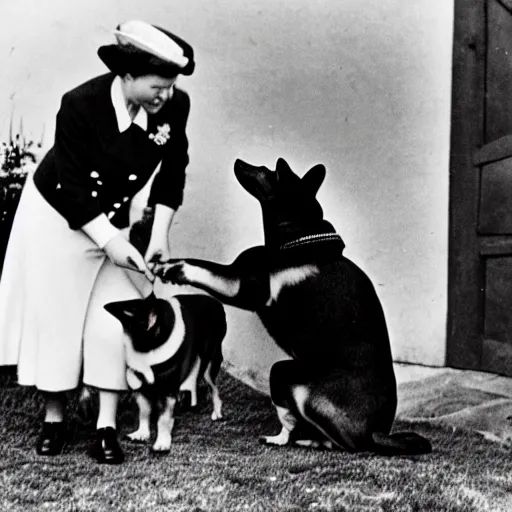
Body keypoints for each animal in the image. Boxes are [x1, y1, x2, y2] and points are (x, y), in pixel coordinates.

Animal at [153, 158, 432, 454]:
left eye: (268, 170)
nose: (239, 161)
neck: (297, 235)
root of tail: (374, 433)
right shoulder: (236, 279)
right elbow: (200, 264)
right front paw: (167, 266)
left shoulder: (243, 289)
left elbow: (202, 269)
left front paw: (172, 268)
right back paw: (311, 439)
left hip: (288, 378)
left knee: (321, 432)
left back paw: (286, 438)